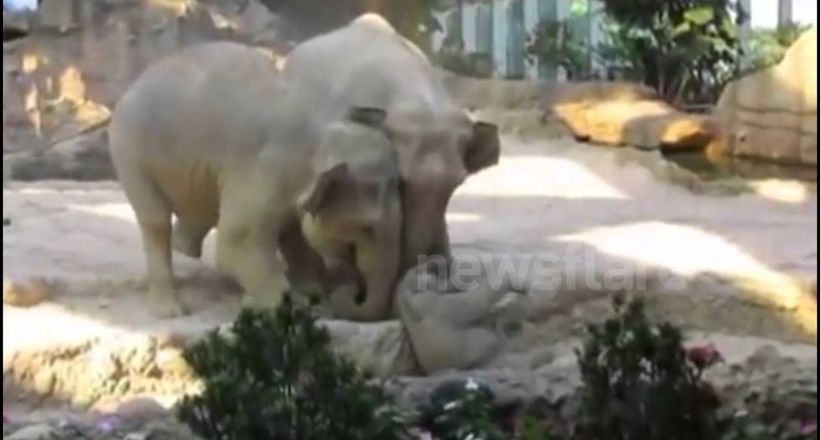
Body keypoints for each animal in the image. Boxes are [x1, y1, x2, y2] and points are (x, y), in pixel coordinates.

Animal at [109, 43, 404, 318]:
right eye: (367, 229)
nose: (352, 292)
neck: (321, 132)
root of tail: (137, 81)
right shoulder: (263, 175)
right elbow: (237, 243)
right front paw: (281, 305)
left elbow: (296, 239)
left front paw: (312, 298)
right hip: (130, 152)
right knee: (156, 222)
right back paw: (169, 310)